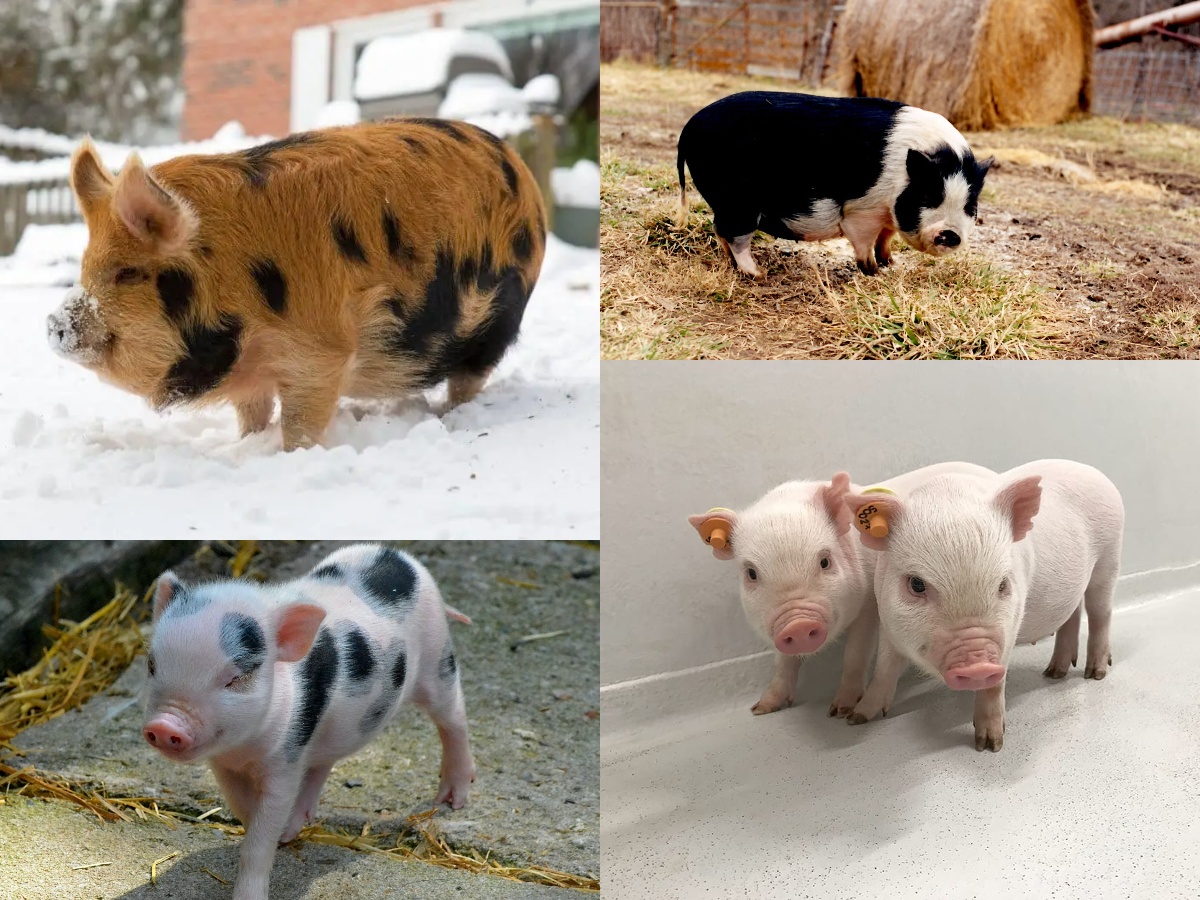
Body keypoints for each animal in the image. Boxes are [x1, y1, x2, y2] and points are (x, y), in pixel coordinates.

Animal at [47, 119, 546, 450]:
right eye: (85, 268)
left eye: (127, 272)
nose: (54, 323)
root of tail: (522, 171)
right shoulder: (251, 373)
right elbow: (253, 414)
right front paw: (245, 445)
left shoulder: (321, 352)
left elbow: (302, 420)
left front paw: (293, 455)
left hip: (497, 320)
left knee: (470, 378)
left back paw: (450, 418)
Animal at [142, 544, 475, 900]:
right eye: (152, 665)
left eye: (235, 678)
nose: (164, 725)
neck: (244, 749)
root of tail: (398, 555)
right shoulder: (225, 765)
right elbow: (244, 809)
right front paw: (281, 832)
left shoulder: (285, 761)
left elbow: (260, 834)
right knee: (322, 763)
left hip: (437, 658)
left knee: (454, 717)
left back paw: (452, 800)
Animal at [676, 91, 993, 278]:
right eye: (928, 196)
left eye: (970, 206)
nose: (950, 234)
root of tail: (689, 127)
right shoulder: (861, 211)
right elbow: (864, 243)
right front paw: (875, 272)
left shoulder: (886, 216)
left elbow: (886, 238)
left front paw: (892, 264)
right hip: (738, 201)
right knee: (735, 235)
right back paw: (759, 274)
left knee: (720, 231)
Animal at [688, 462, 994, 718]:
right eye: (751, 573)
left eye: (825, 561)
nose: (798, 625)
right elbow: (783, 662)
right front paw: (760, 709)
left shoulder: (869, 605)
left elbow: (855, 654)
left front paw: (840, 712)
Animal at [842, 460, 1124, 751]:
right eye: (917, 584)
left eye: (1002, 584)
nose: (978, 665)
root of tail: (1093, 471)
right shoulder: (886, 620)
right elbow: (884, 668)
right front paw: (855, 719)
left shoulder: (1009, 627)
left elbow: (995, 684)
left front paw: (990, 746)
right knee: (1072, 615)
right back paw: (1054, 673)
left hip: (1109, 558)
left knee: (1101, 613)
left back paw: (1095, 674)